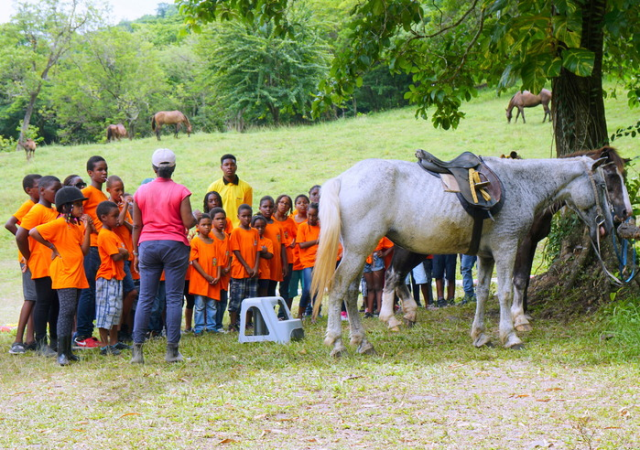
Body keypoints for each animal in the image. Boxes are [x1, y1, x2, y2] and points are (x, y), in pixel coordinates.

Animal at [312, 153, 628, 356]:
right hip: (360, 250)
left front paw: (481, 335)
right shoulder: (507, 247)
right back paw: (338, 343)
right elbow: (507, 292)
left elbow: (483, 293)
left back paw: (363, 342)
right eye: (605, 183)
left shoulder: (486, 255)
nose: (613, 221)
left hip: (358, 252)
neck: (520, 185)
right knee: (339, 288)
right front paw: (511, 335)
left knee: (350, 292)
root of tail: (342, 180)